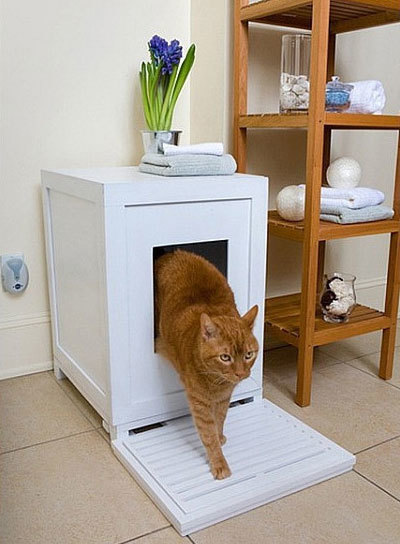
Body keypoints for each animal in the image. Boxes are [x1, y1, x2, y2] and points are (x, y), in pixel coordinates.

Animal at [155, 250, 259, 480]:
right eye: (225, 357)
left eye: (248, 355)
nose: (240, 374)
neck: (217, 382)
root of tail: (174, 252)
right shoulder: (199, 402)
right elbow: (208, 433)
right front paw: (218, 462)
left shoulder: (223, 399)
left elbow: (220, 419)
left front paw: (220, 437)